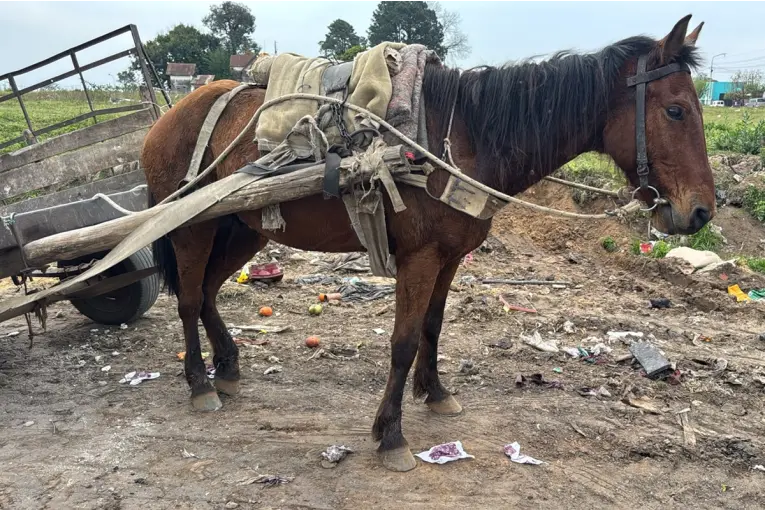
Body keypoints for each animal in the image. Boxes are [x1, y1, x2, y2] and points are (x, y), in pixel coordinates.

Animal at [141, 14, 714, 472]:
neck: (462, 138)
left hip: (242, 229)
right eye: (677, 111)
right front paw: (391, 436)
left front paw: (436, 394)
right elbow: (404, 340)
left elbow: (433, 328)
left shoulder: (450, 257)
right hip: (192, 228)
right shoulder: (419, 258)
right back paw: (200, 384)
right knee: (189, 299)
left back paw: (227, 368)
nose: (702, 211)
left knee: (208, 292)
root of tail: (170, 116)